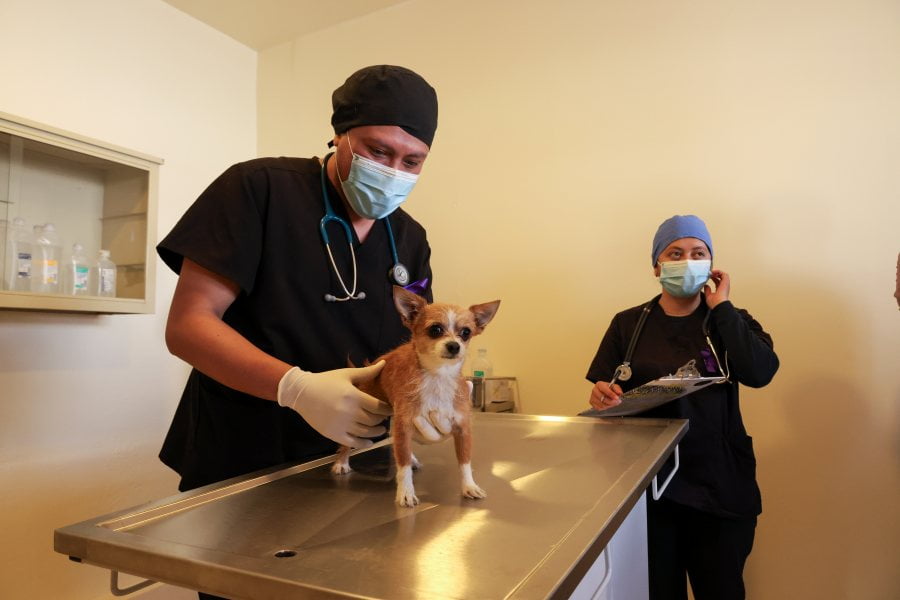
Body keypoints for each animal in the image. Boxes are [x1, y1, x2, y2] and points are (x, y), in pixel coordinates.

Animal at [330, 286, 500, 506]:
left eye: (466, 333)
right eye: (435, 329)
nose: (454, 345)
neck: (438, 376)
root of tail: (375, 363)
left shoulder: (462, 429)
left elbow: (465, 463)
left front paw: (469, 486)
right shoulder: (404, 425)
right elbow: (402, 468)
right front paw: (405, 492)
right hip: (360, 419)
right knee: (349, 442)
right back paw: (342, 462)